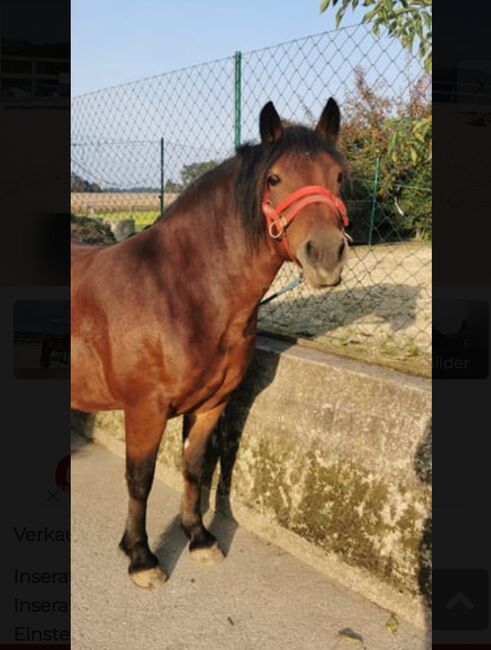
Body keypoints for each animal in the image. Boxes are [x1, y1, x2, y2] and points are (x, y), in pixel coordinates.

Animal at [71, 97, 352, 588]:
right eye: (274, 178)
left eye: (338, 175)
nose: (325, 254)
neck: (181, 292)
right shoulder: (144, 409)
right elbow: (139, 479)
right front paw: (141, 556)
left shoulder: (212, 404)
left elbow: (195, 468)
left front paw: (198, 538)